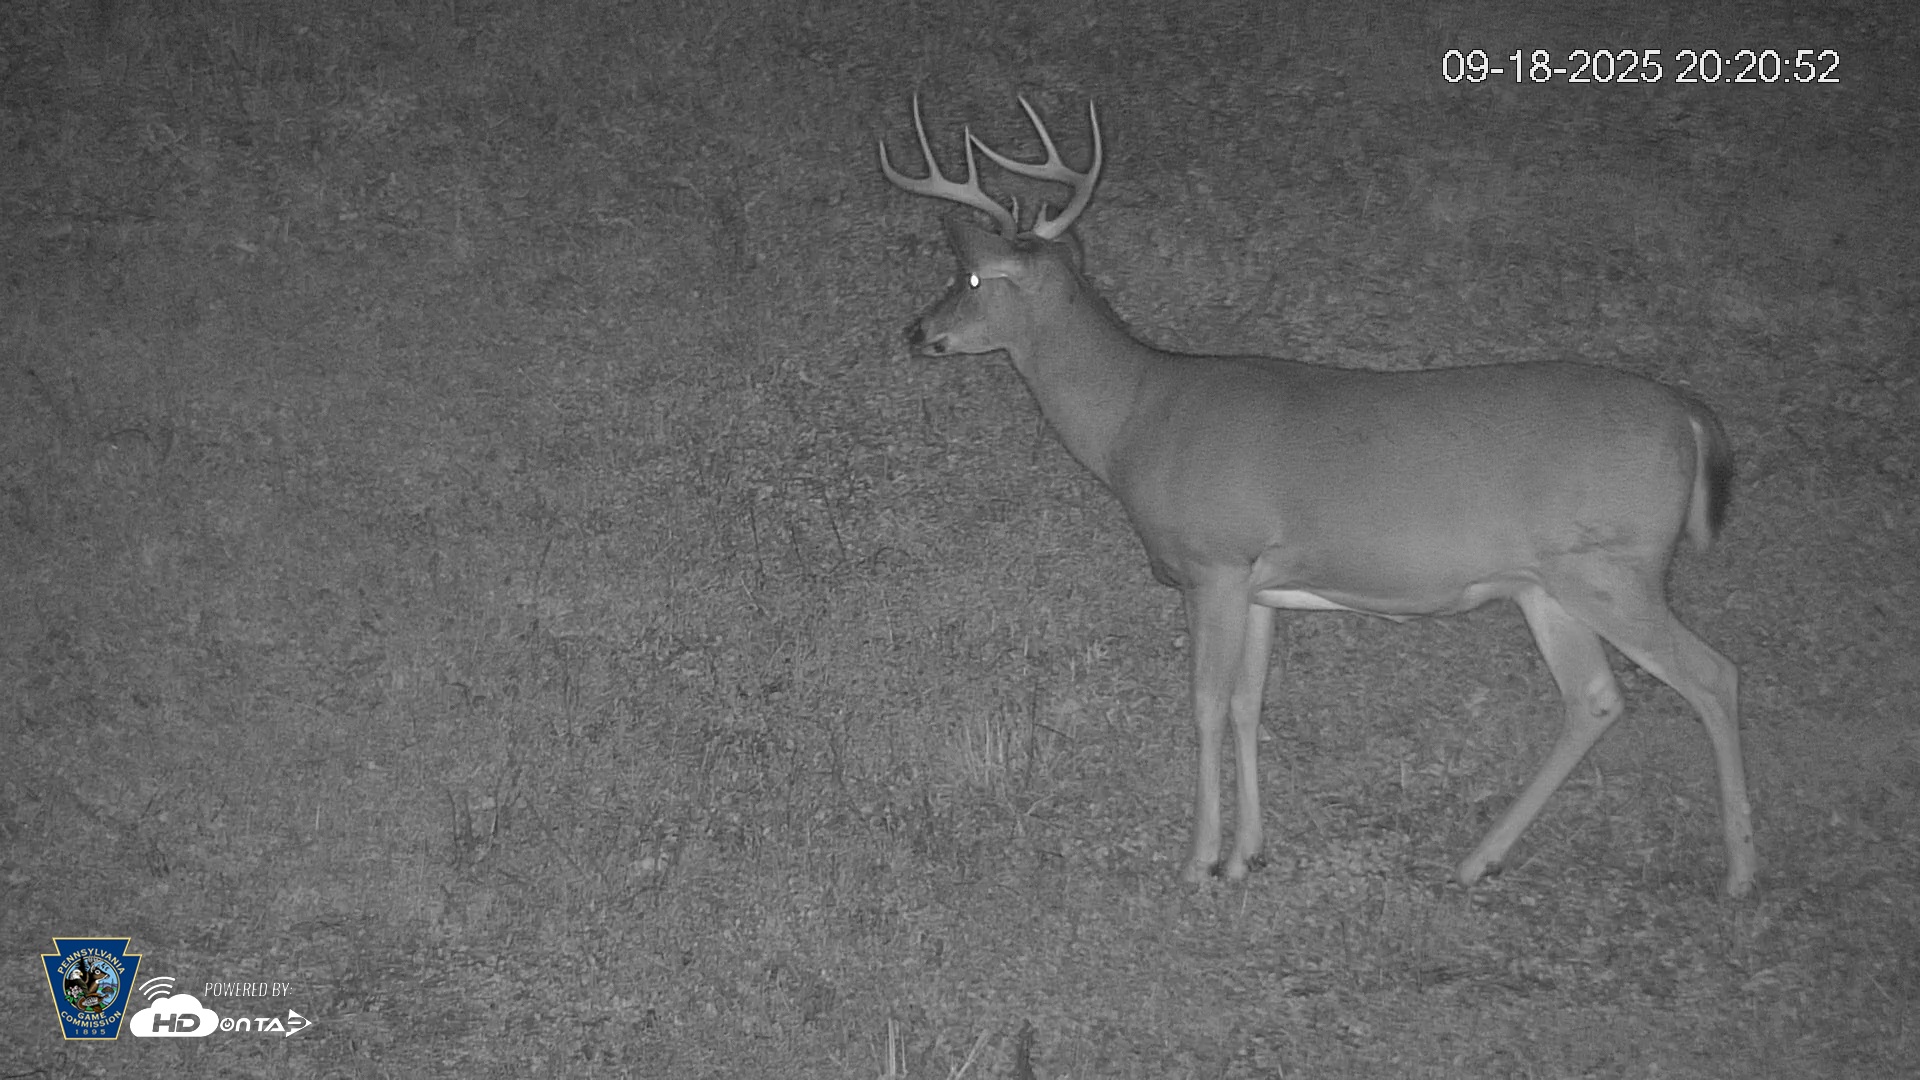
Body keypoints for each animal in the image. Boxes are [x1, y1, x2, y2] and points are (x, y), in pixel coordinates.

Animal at [879, 96, 1757, 898]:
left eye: (968, 277)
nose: (915, 332)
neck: (1136, 418)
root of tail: (1690, 414)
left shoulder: (1214, 561)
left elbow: (1204, 703)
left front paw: (1198, 860)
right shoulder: (1264, 586)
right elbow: (1248, 705)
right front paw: (1247, 855)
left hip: (1615, 568)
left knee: (1713, 674)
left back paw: (1740, 871)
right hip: (1552, 585)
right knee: (1596, 700)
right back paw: (1478, 860)